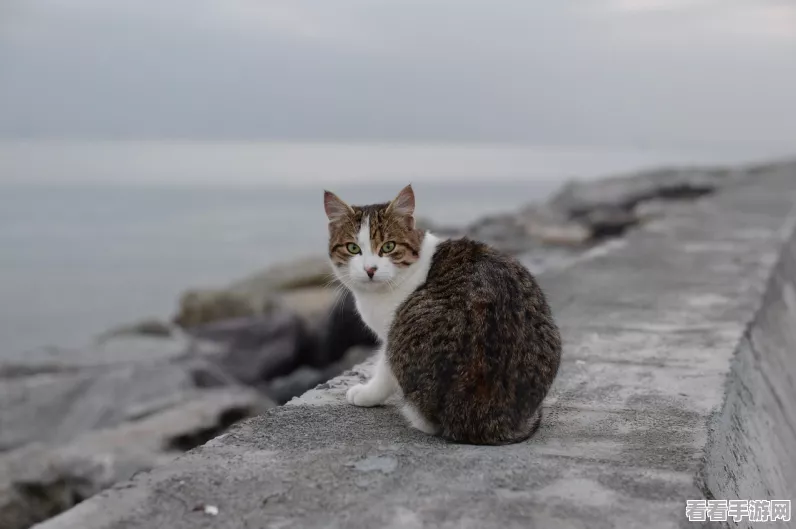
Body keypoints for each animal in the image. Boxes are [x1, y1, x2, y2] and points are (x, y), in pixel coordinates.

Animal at [322, 184, 560, 444]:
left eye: (388, 247)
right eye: (353, 248)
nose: (370, 269)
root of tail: (486, 421)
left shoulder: (389, 334)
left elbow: (384, 371)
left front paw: (367, 393)